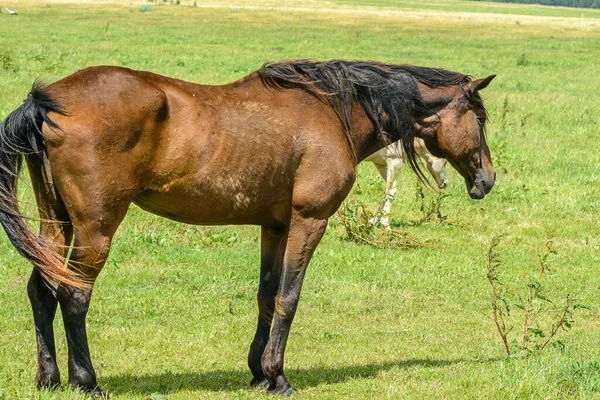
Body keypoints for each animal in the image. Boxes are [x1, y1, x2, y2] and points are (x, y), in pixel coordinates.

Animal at [0, 61, 496, 396]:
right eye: (481, 118)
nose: (487, 180)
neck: (333, 112)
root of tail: (45, 101)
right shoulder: (308, 221)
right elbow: (289, 298)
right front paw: (278, 376)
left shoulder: (273, 226)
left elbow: (266, 295)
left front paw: (259, 372)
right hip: (96, 228)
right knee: (74, 295)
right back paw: (86, 381)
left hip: (57, 223)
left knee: (42, 290)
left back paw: (49, 378)